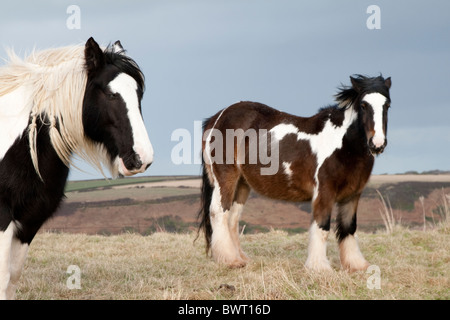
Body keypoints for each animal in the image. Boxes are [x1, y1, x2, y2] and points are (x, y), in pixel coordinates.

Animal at [0, 38, 153, 300]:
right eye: (111, 94)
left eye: (139, 94)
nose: (142, 158)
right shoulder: (2, 217)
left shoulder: (29, 219)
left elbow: (12, 279)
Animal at [199, 75, 392, 272]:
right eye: (363, 105)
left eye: (387, 105)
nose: (377, 144)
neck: (343, 145)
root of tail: (216, 118)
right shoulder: (324, 193)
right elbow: (322, 227)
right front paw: (319, 267)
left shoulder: (353, 195)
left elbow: (349, 228)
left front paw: (356, 264)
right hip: (225, 178)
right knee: (218, 212)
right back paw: (229, 260)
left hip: (242, 183)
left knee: (232, 218)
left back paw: (240, 258)